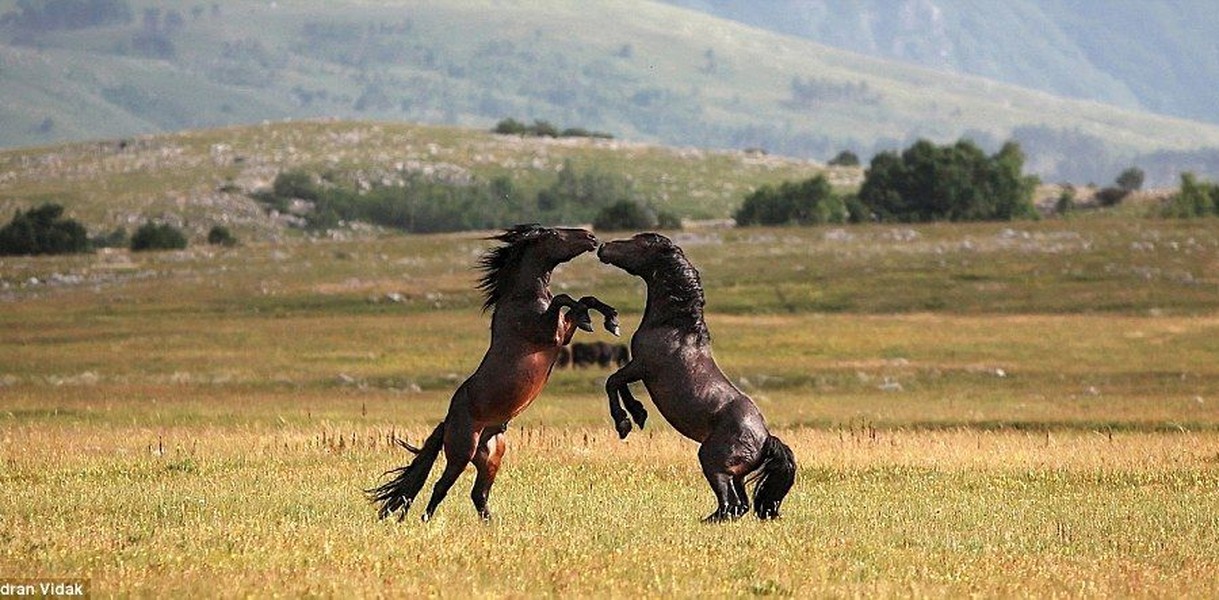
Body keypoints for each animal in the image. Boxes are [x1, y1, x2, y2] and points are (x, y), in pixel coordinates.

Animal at [363, 224, 619, 519]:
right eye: (555, 234)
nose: (591, 237)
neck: (523, 298)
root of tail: (447, 422)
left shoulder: (561, 335)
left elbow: (582, 301)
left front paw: (608, 319)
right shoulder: (549, 333)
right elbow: (565, 299)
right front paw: (599, 319)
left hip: (490, 458)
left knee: (479, 494)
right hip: (461, 453)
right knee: (441, 487)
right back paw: (426, 521)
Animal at [594, 231, 794, 521]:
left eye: (637, 243)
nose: (603, 247)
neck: (674, 325)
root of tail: (766, 439)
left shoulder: (641, 366)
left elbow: (612, 382)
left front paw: (624, 422)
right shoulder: (638, 369)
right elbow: (621, 386)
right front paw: (639, 414)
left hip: (712, 461)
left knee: (729, 503)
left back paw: (708, 520)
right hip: (735, 474)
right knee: (740, 505)